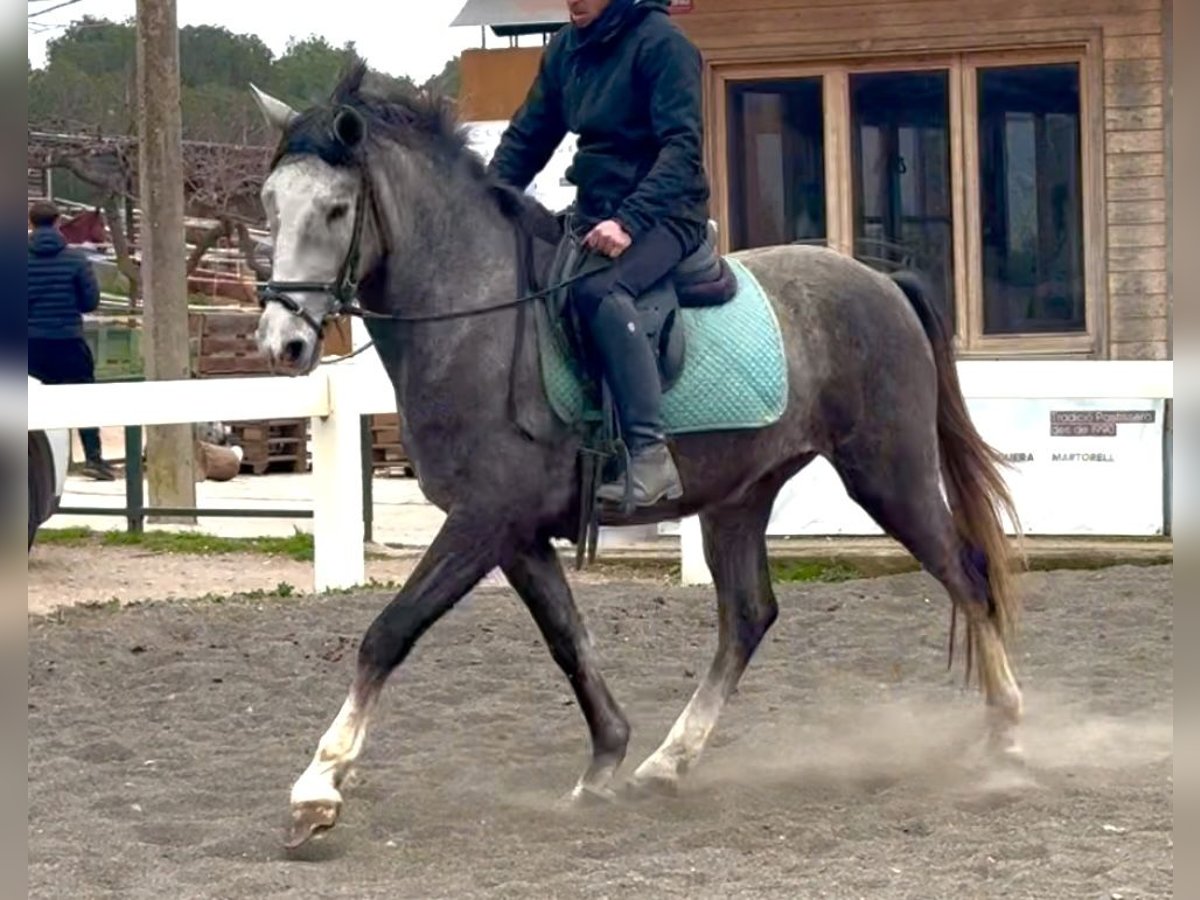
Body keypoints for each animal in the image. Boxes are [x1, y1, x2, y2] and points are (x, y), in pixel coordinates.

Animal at [248, 63, 1027, 854]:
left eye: (337, 210)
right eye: (271, 205)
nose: (284, 343)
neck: (475, 316)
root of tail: (880, 282)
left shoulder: (482, 520)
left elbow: (390, 631)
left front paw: (317, 789)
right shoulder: (515, 534)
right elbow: (569, 641)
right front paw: (606, 761)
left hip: (889, 476)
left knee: (967, 575)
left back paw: (1008, 738)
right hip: (739, 497)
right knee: (748, 616)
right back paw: (666, 764)